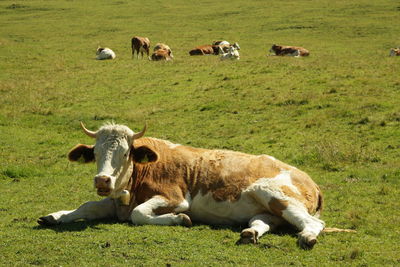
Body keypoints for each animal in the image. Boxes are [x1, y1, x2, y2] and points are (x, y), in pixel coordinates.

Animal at [37, 122, 354, 250]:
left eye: (126, 153)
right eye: (96, 152)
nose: (103, 180)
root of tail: (310, 180)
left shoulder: (176, 197)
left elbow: (141, 214)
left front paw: (180, 219)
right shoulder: (115, 202)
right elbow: (88, 206)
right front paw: (54, 215)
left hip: (272, 192)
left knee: (314, 223)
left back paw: (307, 237)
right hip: (265, 207)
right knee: (265, 221)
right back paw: (250, 233)